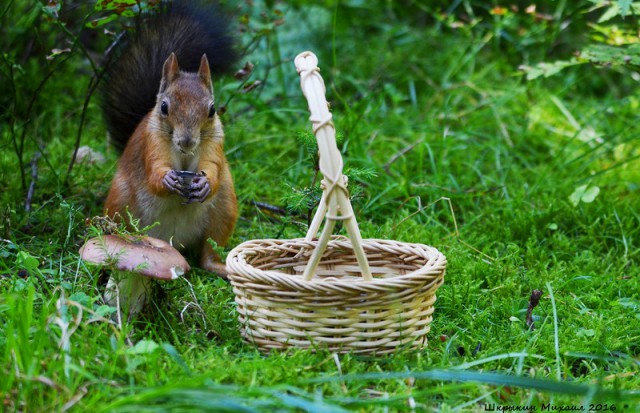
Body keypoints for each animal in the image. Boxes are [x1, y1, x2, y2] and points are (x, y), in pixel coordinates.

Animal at [99, 0, 239, 276]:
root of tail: (175, 243)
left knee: (208, 253)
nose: (187, 142)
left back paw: (221, 268)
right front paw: (166, 180)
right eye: (164, 107)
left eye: (212, 109)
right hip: (120, 201)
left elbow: (213, 166)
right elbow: (155, 170)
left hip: (225, 206)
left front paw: (205, 183)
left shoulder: (215, 142)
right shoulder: (150, 142)